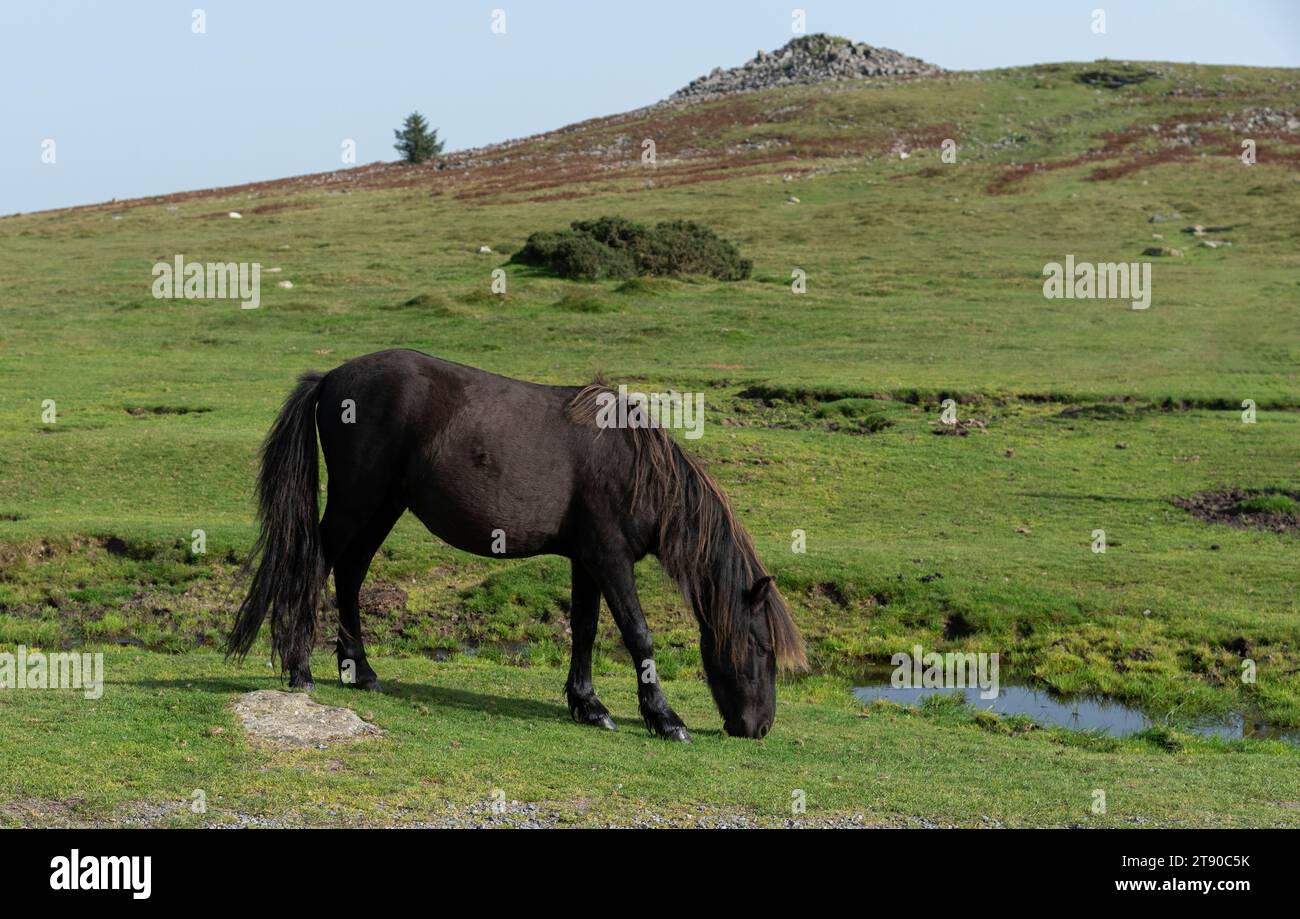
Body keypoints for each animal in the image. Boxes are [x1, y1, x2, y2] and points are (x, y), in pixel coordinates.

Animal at [228, 345, 806, 738]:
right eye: (761, 648)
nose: (758, 728)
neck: (634, 466)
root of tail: (331, 377)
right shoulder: (611, 559)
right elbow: (637, 635)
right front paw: (664, 717)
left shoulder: (586, 561)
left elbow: (585, 631)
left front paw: (588, 705)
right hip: (356, 503)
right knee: (314, 566)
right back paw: (300, 669)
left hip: (383, 508)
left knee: (349, 576)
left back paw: (361, 673)